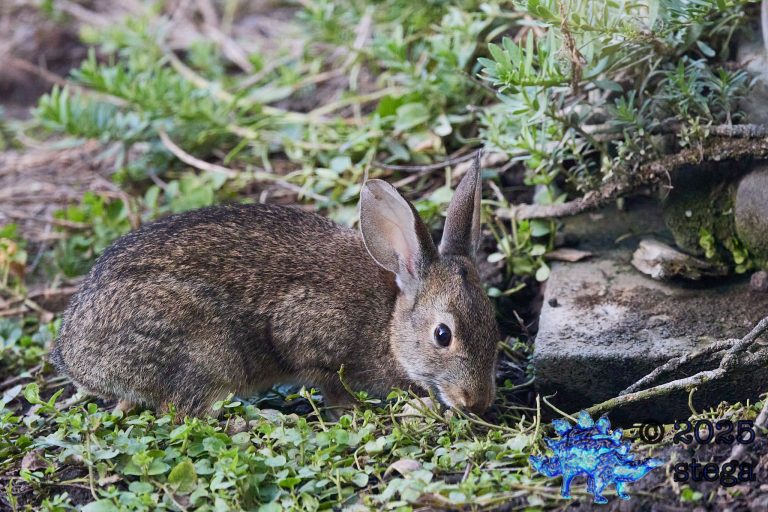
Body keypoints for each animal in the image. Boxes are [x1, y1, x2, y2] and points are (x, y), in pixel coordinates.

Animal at [49, 154, 499, 418]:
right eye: (443, 335)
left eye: (494, 326)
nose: (477, 401)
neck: (389, 319)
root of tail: (74, 358)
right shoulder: (309, 337)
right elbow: (330, 384)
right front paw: (355, 411)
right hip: (208, 352)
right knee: (183, 411)